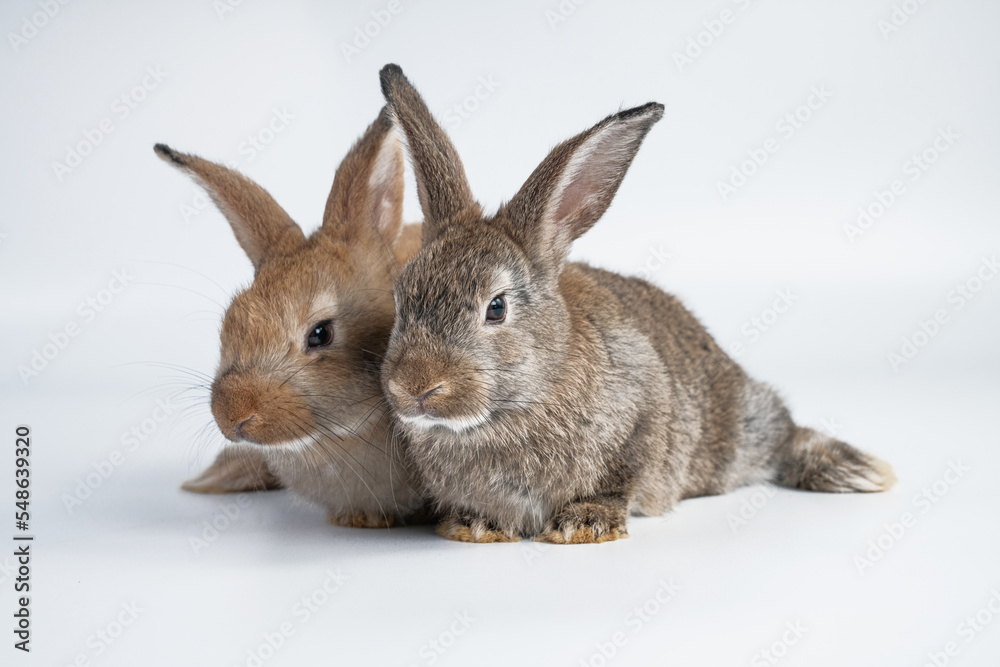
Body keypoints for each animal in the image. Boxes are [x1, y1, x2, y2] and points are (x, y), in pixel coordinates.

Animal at [375, 64, 896, 544]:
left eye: (497, 308)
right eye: (401, 298)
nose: (415, 386)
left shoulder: (644, 417)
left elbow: (620, 480)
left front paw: (583, 524)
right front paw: (474, 524)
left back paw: (857, 469)